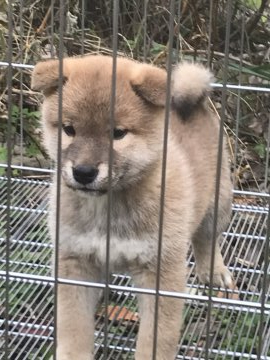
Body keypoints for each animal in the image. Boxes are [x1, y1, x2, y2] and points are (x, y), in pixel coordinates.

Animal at [31, 54, 233, 358]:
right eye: (69, 129)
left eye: (118, 133)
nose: (84, 172)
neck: (108, 205)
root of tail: (194, 103)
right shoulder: (75, 264)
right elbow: (73, 330)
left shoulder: (160, 275)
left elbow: (156, 339)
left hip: (217, 204)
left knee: (207, 240)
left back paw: (214, 271)